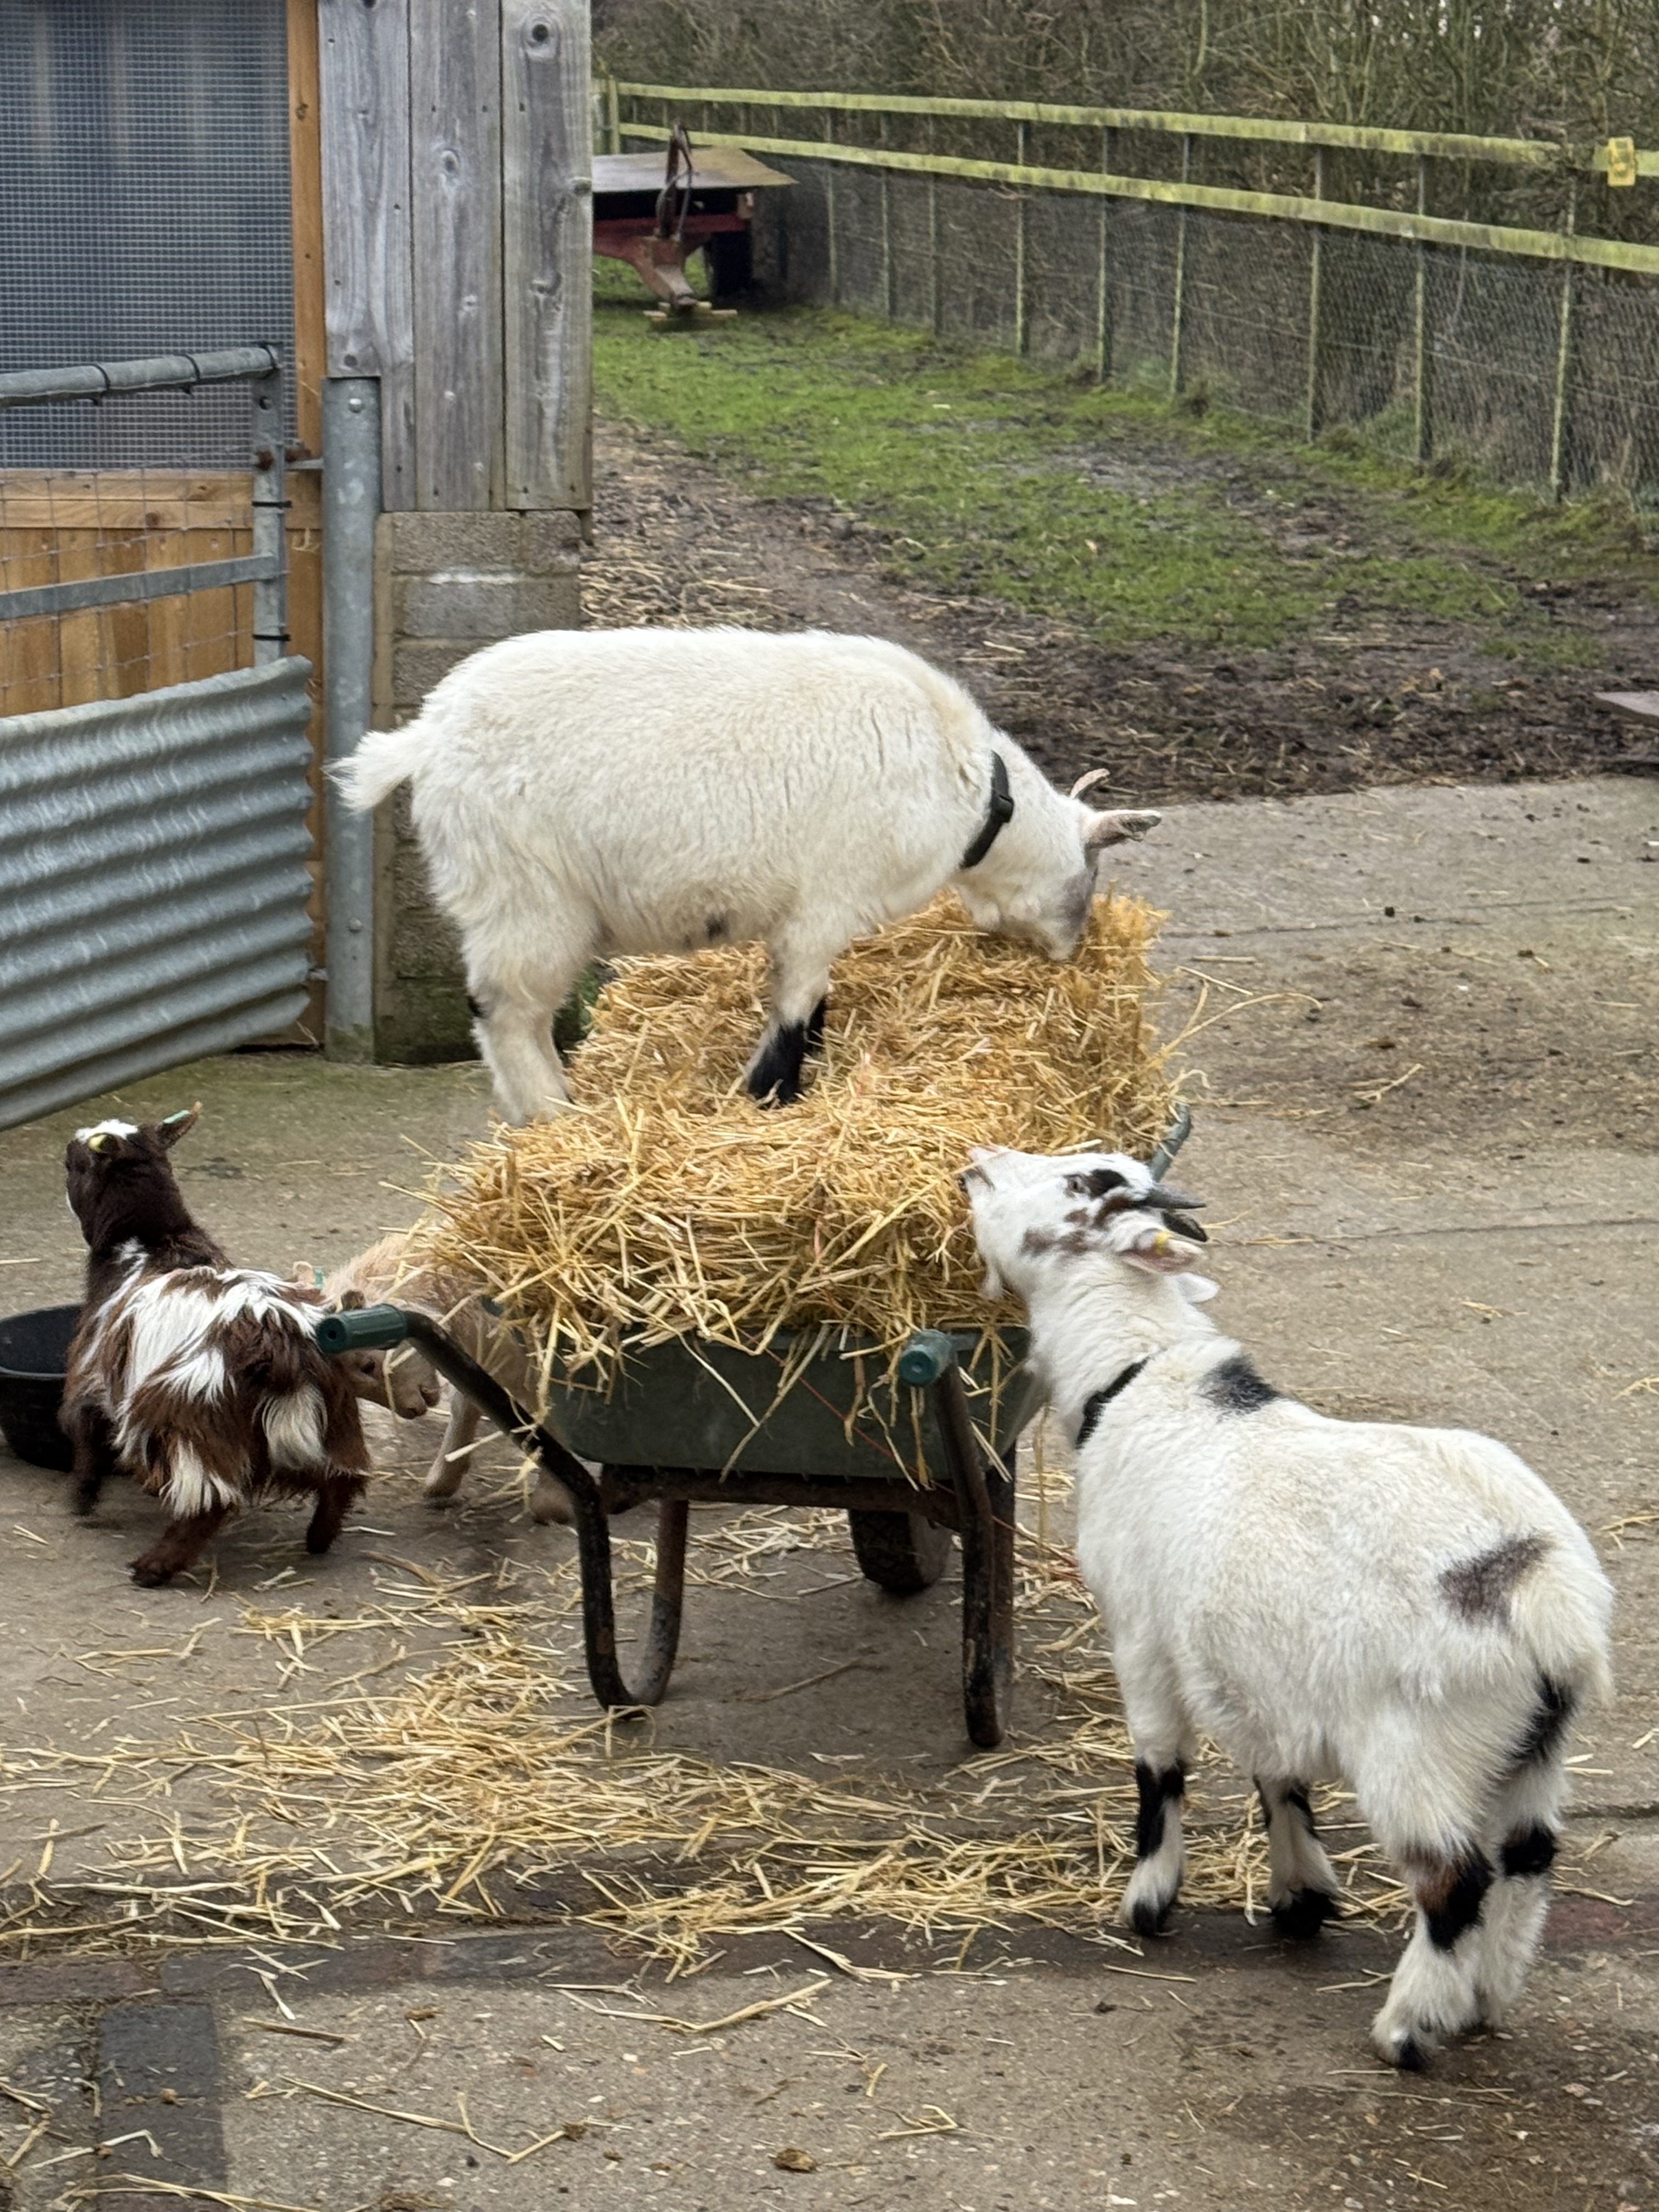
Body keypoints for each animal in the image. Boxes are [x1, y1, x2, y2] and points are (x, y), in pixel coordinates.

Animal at [62, 1108, 370, 1587]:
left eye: (74, 1163)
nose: (66, 1148)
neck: (150, 1244)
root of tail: (280, 1342)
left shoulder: (93, 1374)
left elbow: (87, 1433)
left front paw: (82, 1498)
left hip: (188, 1414)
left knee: (212, 1502)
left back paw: (153, 1568)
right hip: (334, 1416)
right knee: (342, 1476)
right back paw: (319, 1539)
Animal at [319, 1233, 574, 1525]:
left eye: (368, 1365)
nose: (412, 1411)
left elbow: (552, 1417)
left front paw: (553, 1502)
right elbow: (466, 1407)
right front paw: (443, 1481)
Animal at [338, 627, 1159, 1118]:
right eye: (1090, 875)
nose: (1071, 953)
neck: (968, 783)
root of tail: (427, 739)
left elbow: (812, 1005)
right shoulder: (826, 903)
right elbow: (796, 1007)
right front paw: (774, 1094)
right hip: (525, 891)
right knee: (508, 1011)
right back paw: (553, 1113)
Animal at [962, 1144, 1613, 2070]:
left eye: (1077, 1185)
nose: (977, 1163)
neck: (1137, 1380)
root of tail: (1538, 1592)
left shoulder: (1140, 1637)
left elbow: (1160, 1765)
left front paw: (1148, 1900)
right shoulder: (1256, 1661)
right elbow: (1276, 1769)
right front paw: (1301, 1896)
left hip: (1418, 1747)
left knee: (1455, 1880)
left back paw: (1411, 2027)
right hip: (1535, 1747)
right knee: (1528, 1857)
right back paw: (1485, 1998)